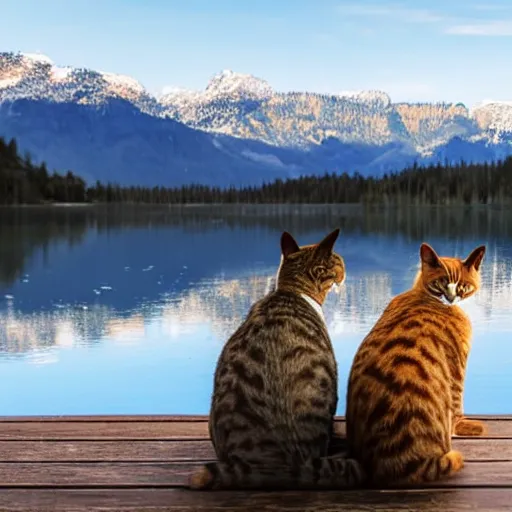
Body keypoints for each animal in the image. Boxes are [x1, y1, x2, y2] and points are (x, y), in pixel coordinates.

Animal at [346, 242, 486, 486]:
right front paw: (466, 426)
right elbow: (457, 404)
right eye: (441, 282)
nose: (450, 298)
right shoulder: (456, 366)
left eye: (462, 285)